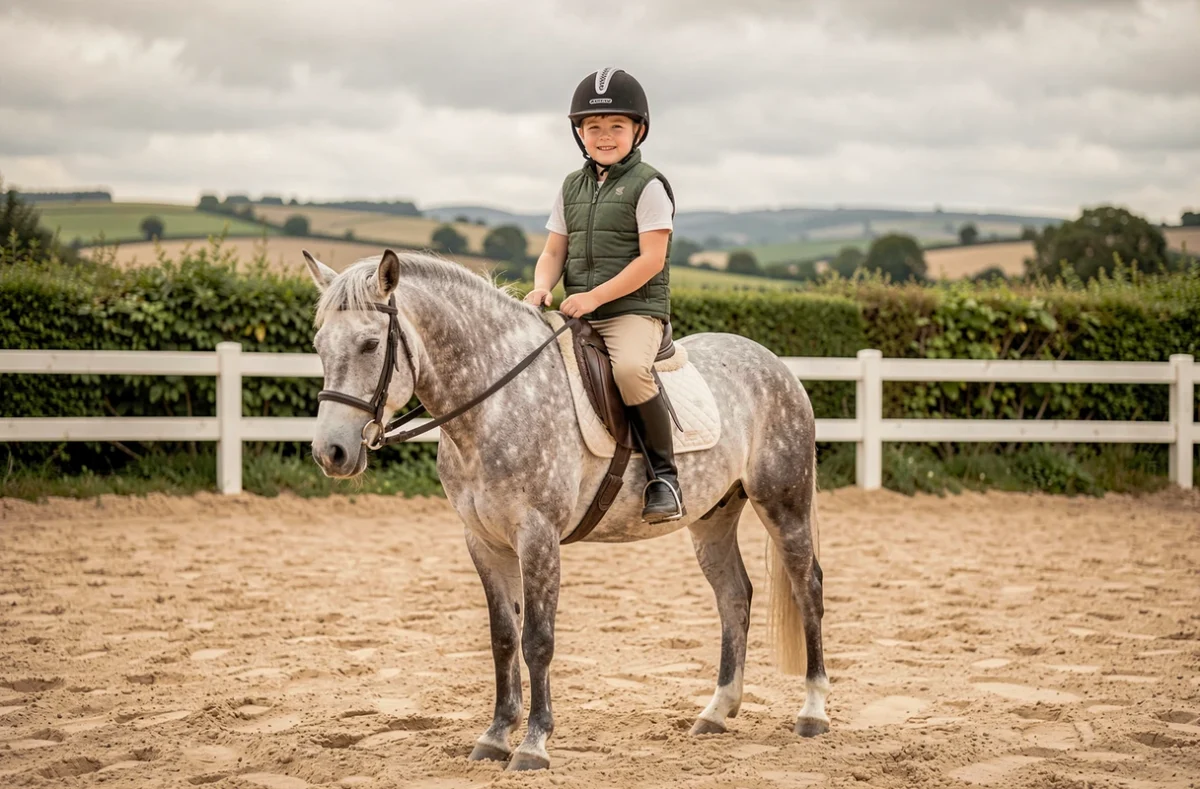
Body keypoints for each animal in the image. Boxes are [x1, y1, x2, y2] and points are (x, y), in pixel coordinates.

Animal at [301, 248, 829, 771]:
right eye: (319, 344)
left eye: (371, 344)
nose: (331, 453)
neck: (495, 402)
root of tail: (773, 362)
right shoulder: (484, 541)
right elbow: (502, 638)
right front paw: (495, 736)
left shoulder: (537, 536)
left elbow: (537, 639)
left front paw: (533, 744)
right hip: (712, 518)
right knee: (734, 597)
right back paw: (716, 712)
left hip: (783, 503)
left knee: (808, 590)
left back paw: (813, 713)